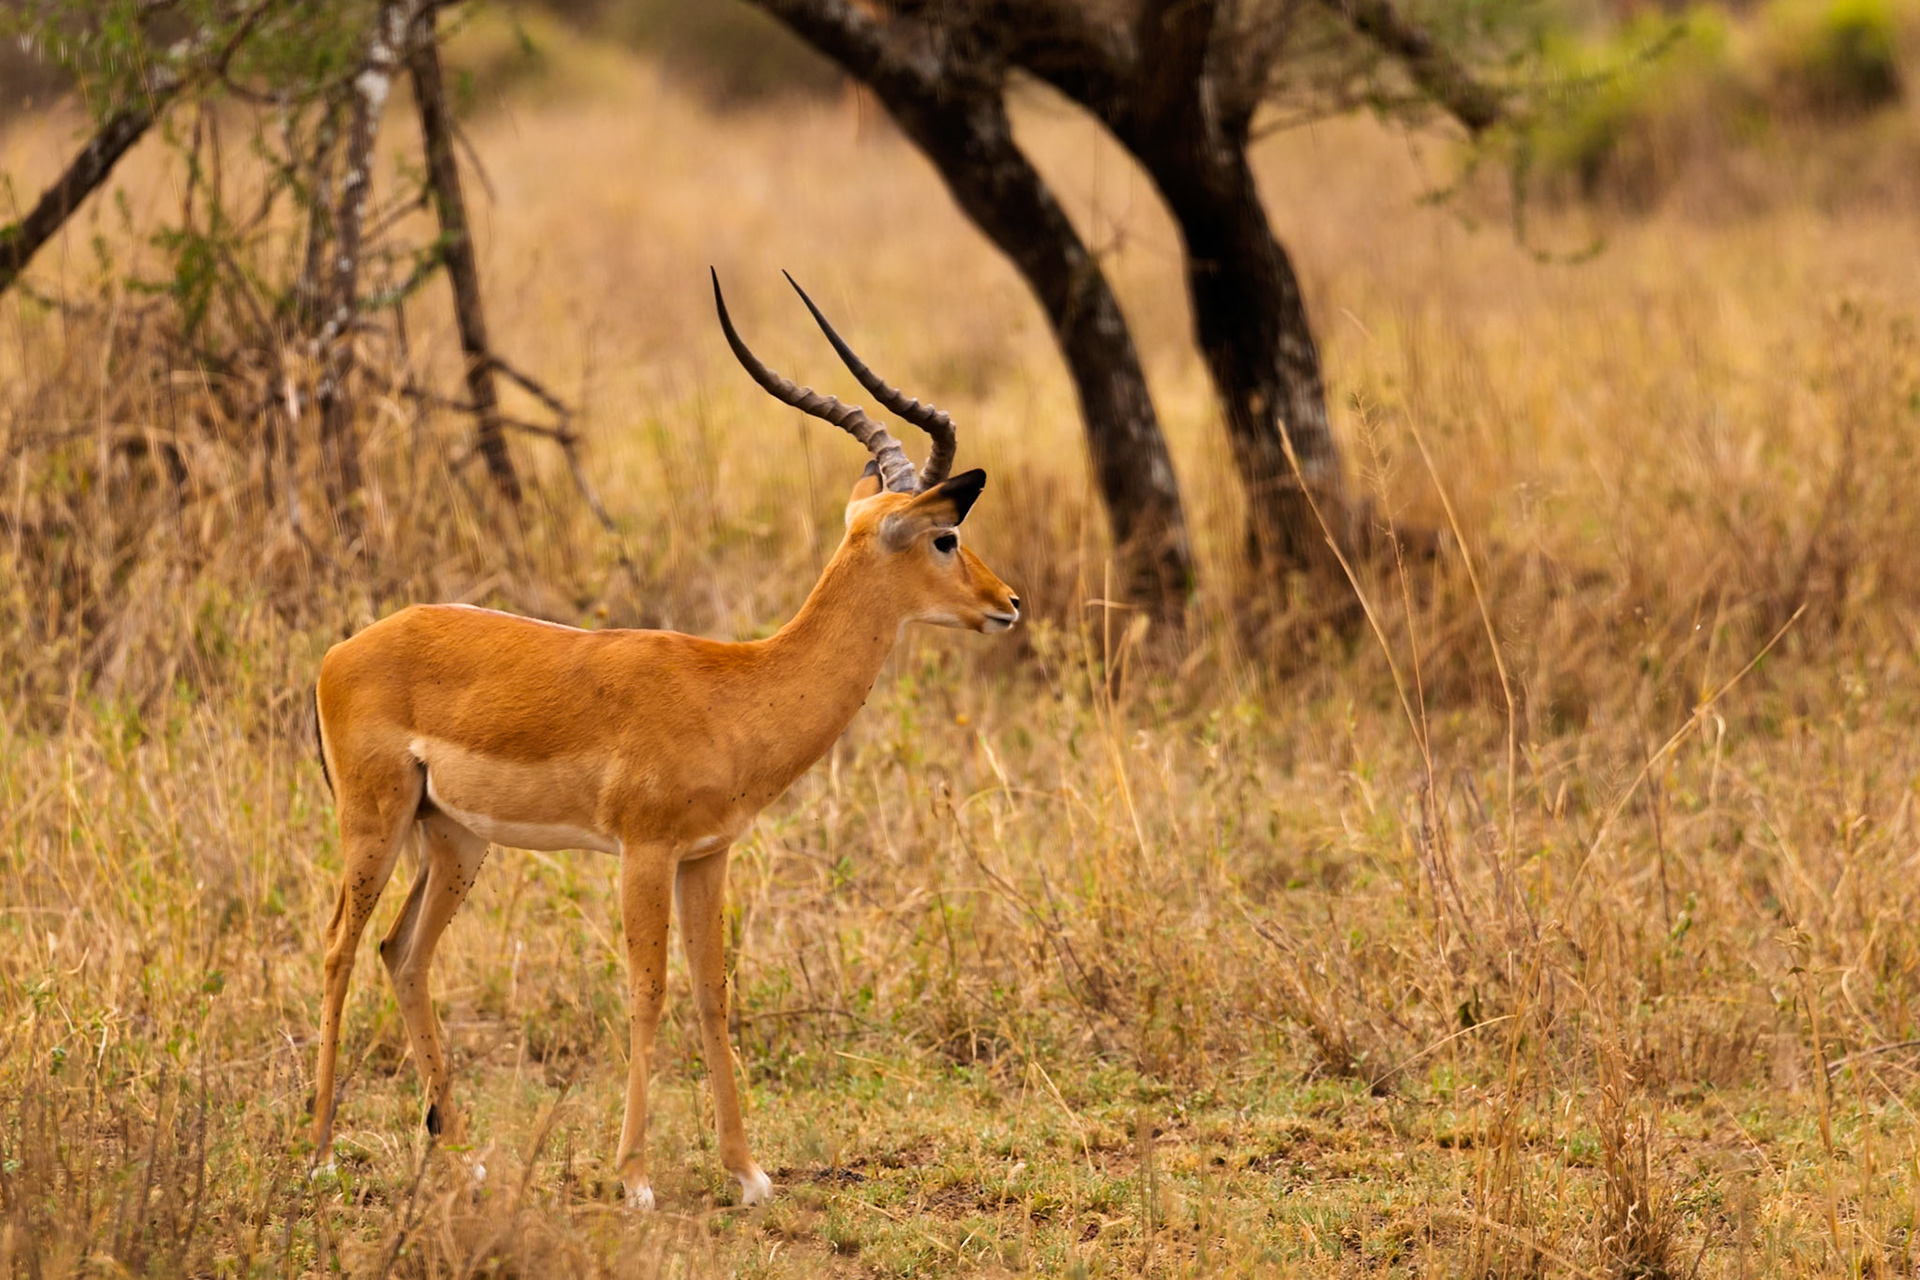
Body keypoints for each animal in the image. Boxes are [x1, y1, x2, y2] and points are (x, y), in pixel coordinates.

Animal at [310, 272, 1020, 1209]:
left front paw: (747, 1172)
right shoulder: (643, 853)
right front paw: (636, 1180)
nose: (1008, 603)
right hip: (375, 821)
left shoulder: (707, 855)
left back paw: (462, 1158)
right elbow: (647, 992)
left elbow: (713, 991)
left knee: (404, 955)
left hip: (456, 839)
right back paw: (319, 1153)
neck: (736, 689)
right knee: (339, 948)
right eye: (946, 536)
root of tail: (343, 649)